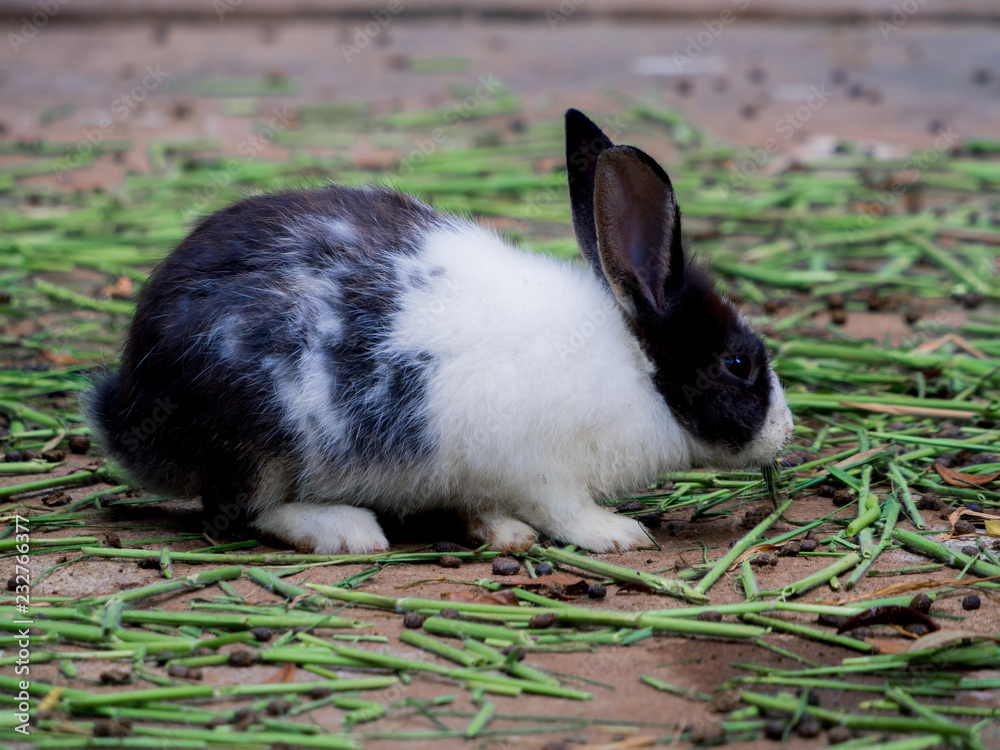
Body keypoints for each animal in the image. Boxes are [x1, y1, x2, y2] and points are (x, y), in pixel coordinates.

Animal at [84, 108, 793, 555]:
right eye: (737, 364)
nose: (787, 433)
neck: (635, 368)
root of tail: (128, 407)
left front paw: (500, 533)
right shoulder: (543, 468)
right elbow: (565, 511)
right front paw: (616, 534)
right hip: (262, 447)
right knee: (239, 515)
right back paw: (347, 530)